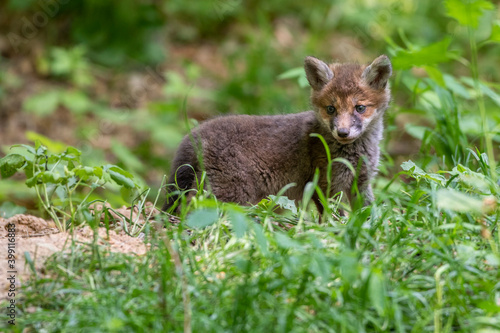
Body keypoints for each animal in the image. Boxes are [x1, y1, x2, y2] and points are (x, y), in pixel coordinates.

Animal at [163, 55, 390, 213]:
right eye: (331, 109)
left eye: (360, 108)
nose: (343, 133)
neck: (354, 153)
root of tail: (193, 136)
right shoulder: (322, 185)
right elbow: (332, 218)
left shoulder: (361, 183)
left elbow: (367, 214)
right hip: (230, 193)